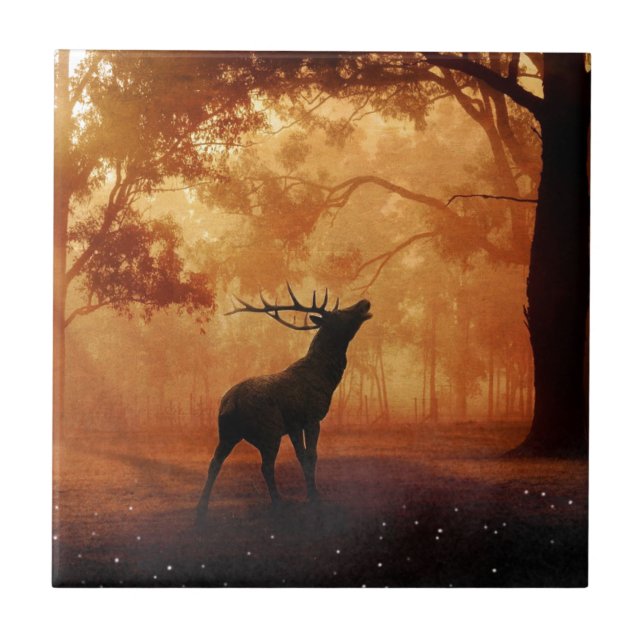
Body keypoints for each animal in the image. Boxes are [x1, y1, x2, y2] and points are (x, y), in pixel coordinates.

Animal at [196, 284, 372, 521]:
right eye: (338, 313)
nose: (364, 303)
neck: (326, 379)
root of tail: (230, 404)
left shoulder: (293, 425)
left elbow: (302, 457)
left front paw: (311, 494)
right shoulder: (311, 417)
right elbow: (311, 456)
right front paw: (315, 499)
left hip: (226, 433)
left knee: (214, 462)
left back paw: (201, 509)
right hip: (268, 432)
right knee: (266, 467)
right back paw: (279, 503)